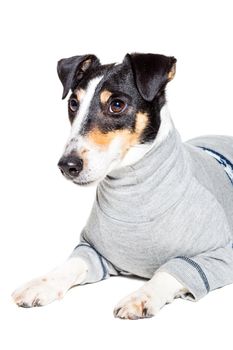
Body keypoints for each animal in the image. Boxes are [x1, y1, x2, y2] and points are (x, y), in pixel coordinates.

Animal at [11, 53, 233, 318]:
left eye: (117, 104)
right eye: (73, 104)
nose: (67, 165)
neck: (133, 193)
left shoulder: (221, 256)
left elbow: (171, 268)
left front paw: (141, 296)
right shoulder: (93, 250)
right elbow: (71, 264)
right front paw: (39, 285)